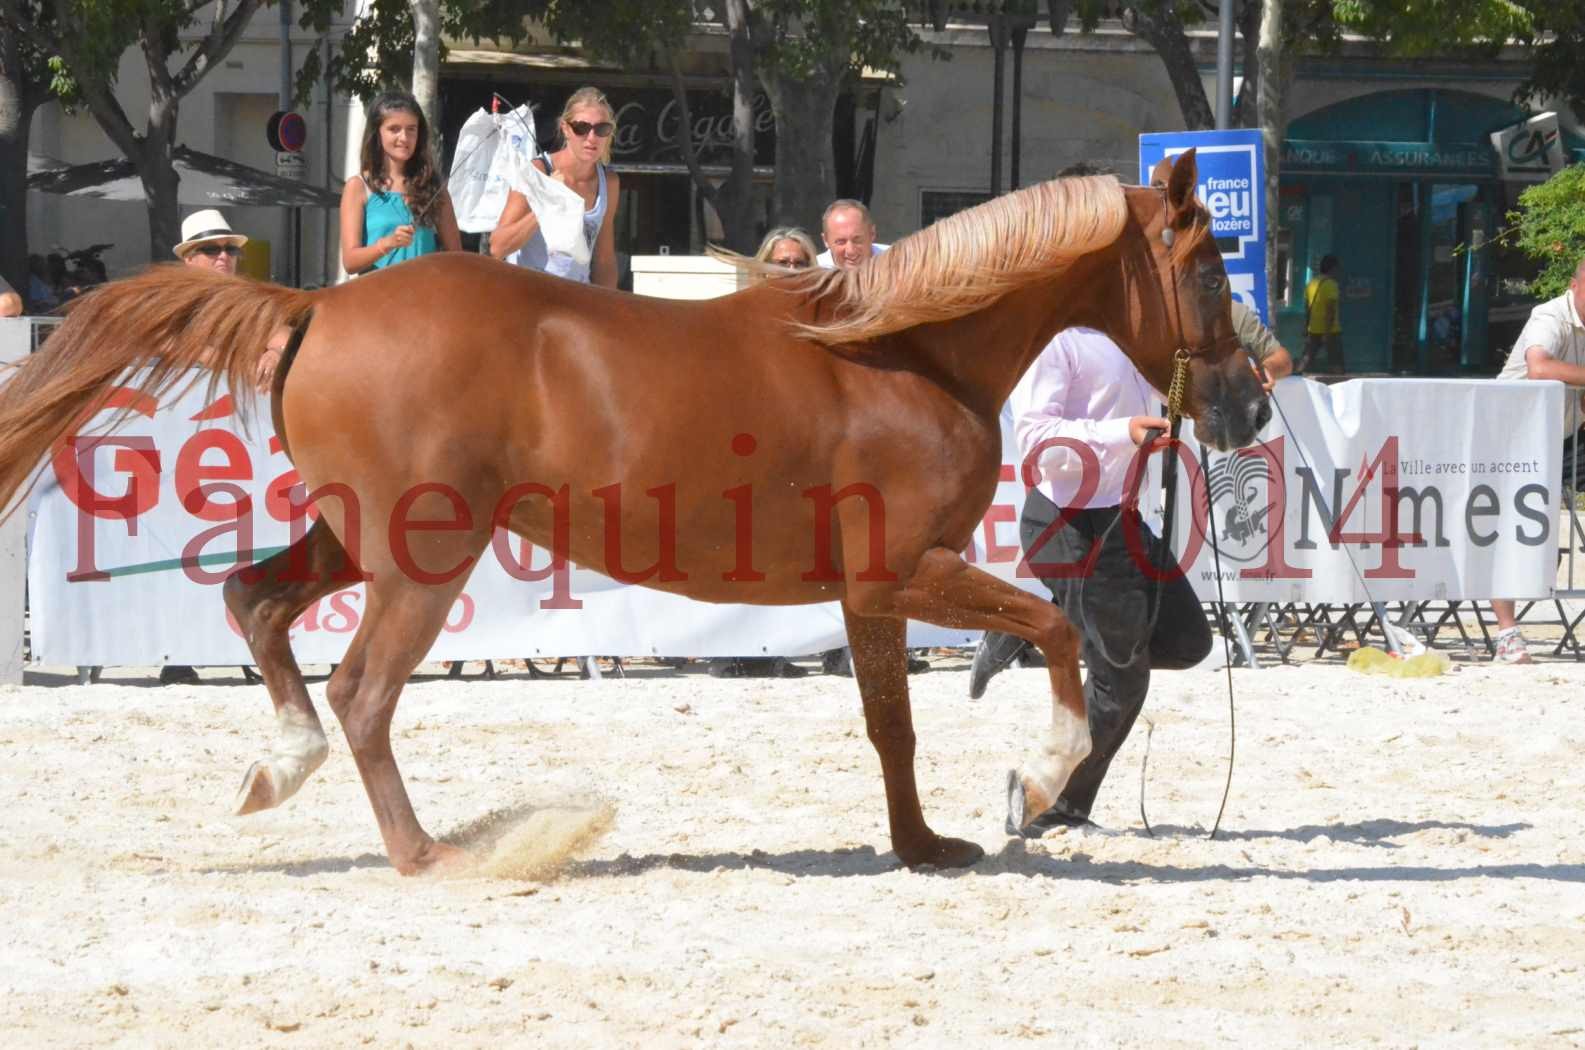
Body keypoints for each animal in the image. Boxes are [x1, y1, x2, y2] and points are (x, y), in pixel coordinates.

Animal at [0, 152, 1261, 875]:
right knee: (360, 691)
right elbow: (1047, 636)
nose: (1248, 405)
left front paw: (922, 846)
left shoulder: (869, 594)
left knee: (255, 602)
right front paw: (1036, 780)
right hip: (424, 557)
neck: (904, 352)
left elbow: (890, 724)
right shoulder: (907, 568)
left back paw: (281, 770)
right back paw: (433, 855)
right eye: (1208, 270)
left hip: (361, 540)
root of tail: (318, 305)